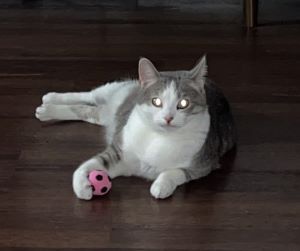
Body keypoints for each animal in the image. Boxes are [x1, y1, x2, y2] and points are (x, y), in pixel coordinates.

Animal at [35, 55, 237, 200]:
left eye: (183, 103)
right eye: (156, 101)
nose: (168, 118)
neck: (159, 138)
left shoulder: (203, 165)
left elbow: (177, 172)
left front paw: (161, 185)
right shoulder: (118, 153)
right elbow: (86, 166)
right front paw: (82, 187)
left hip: (102, 114)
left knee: (87, 110)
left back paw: (48, 109)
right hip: (113, 88)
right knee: (88, 95)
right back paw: (50, 99)